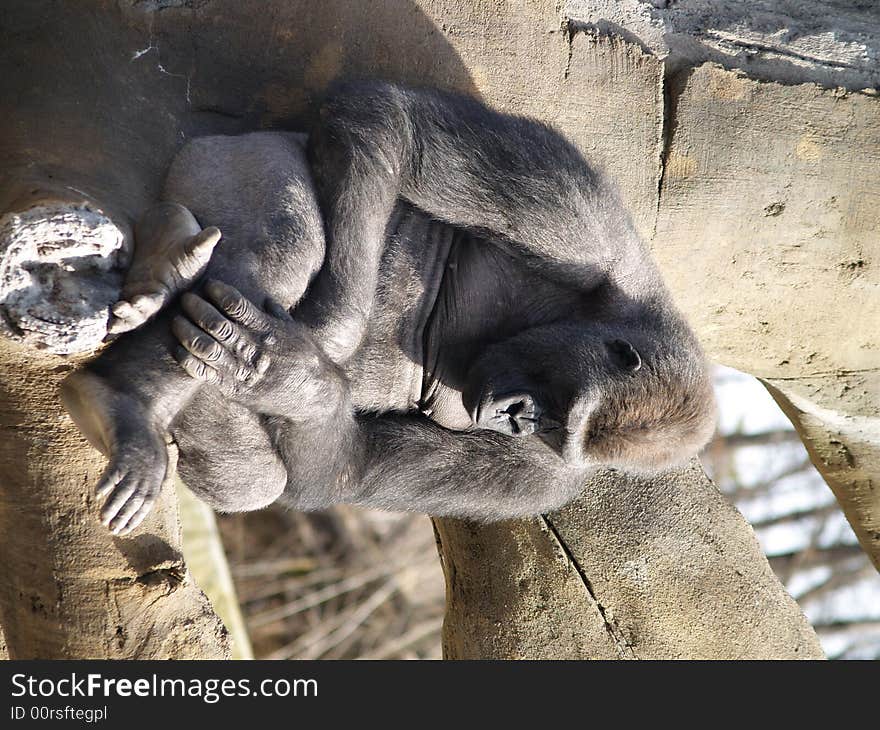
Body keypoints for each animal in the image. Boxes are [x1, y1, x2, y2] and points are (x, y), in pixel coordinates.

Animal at [60, 81, 716, 536]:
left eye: (548, 430)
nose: (515, 416)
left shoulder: (547, 481)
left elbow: (346, 467)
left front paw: (293, 377)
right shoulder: (585, 223)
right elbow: (390, 126)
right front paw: (328, 337)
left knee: (254, 479)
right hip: (232, 152)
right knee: (293, 240)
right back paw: (128, 389)